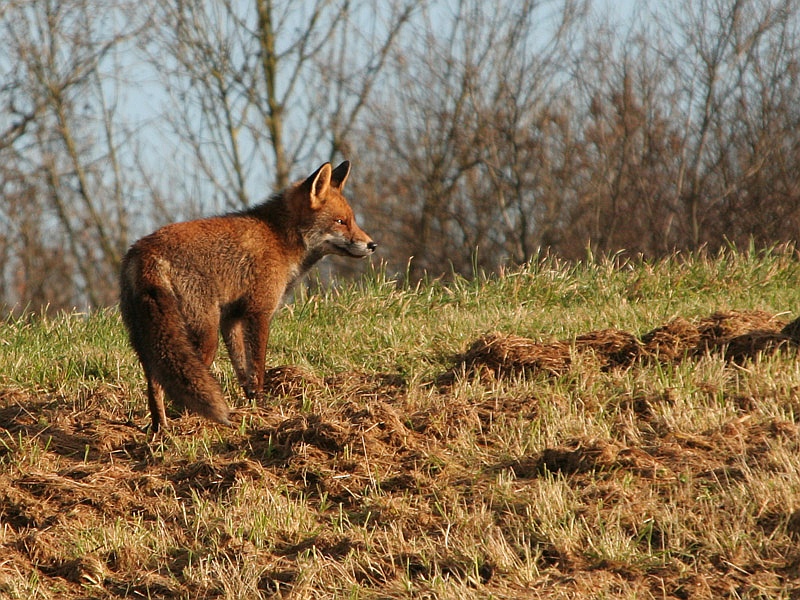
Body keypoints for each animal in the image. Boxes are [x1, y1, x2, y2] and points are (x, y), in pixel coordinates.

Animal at [120, 162, 376, 428]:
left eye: (352, 220)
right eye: (340, 221)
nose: (372, 245)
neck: (279, 238)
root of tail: (145, 251)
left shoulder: (231, 319)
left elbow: (243, 370)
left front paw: (253, 403)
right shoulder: (258, 312)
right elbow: (258, 367)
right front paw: (263, 406)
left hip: (145, 336)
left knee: (154, 380)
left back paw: (160, 428)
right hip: (204, 335)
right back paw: (187, 421)